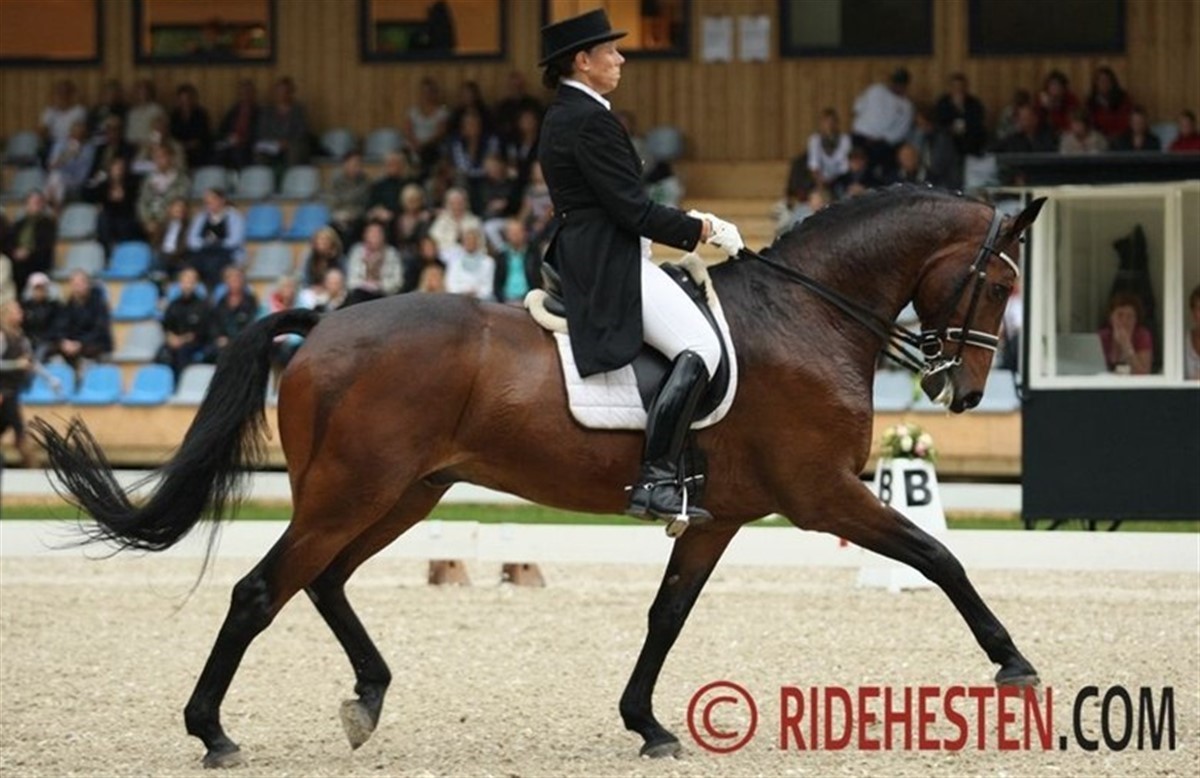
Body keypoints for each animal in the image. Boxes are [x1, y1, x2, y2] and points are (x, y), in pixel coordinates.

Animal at [33, 186, 1046, 767]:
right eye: (999, 283)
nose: (963, 391)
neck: (807, 316)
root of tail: (323, 322)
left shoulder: (721, 514)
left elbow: (668, 613)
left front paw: (647, 723)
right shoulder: (822, 492)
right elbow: (939, 559)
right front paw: (1016, 664)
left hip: (405, 493)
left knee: (322, 580)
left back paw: (367, 696)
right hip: (354, 488)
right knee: (261, 589)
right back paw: (212, 731)